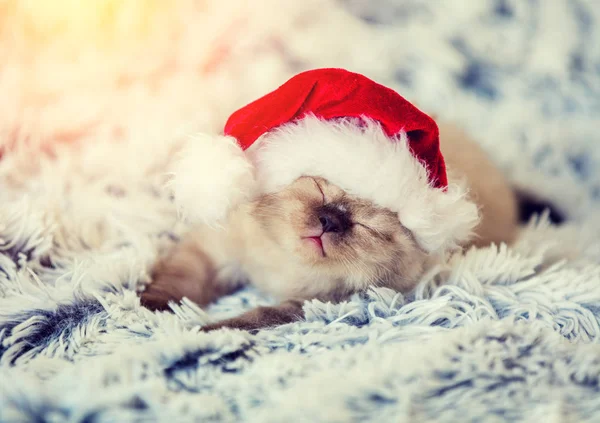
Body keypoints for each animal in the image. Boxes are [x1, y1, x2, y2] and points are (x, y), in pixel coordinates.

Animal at [139, 121, 520, 332]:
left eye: (366, 226)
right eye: (320, 191)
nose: (329, 221)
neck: (284, 265)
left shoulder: (313, 305)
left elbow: (251, 318)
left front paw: (208, 330)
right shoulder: (214, 252)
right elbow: (180, 280)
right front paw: (152, 308)